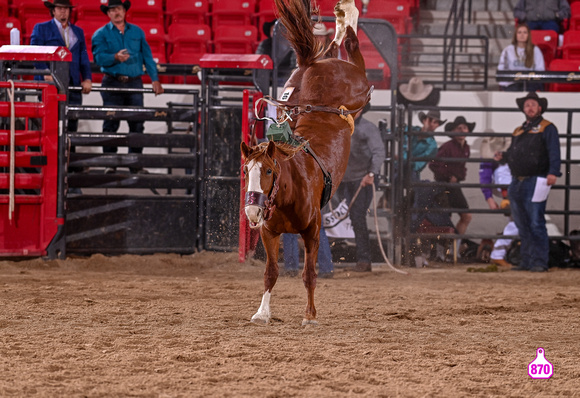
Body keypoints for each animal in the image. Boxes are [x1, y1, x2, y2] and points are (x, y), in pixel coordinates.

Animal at [240, 0, 372, 324]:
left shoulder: (312, 232)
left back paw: (347, 12)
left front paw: (310, 314)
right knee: (337, 44)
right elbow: (271, 273)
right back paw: (339, 18)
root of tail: (311, 65)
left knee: (352, 44)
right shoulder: (268, 232)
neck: (288, 191)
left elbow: (309, 274)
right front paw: (262, 313)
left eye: (269, 170)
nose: (252, 210)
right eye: (245, 171)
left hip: (359, 87)